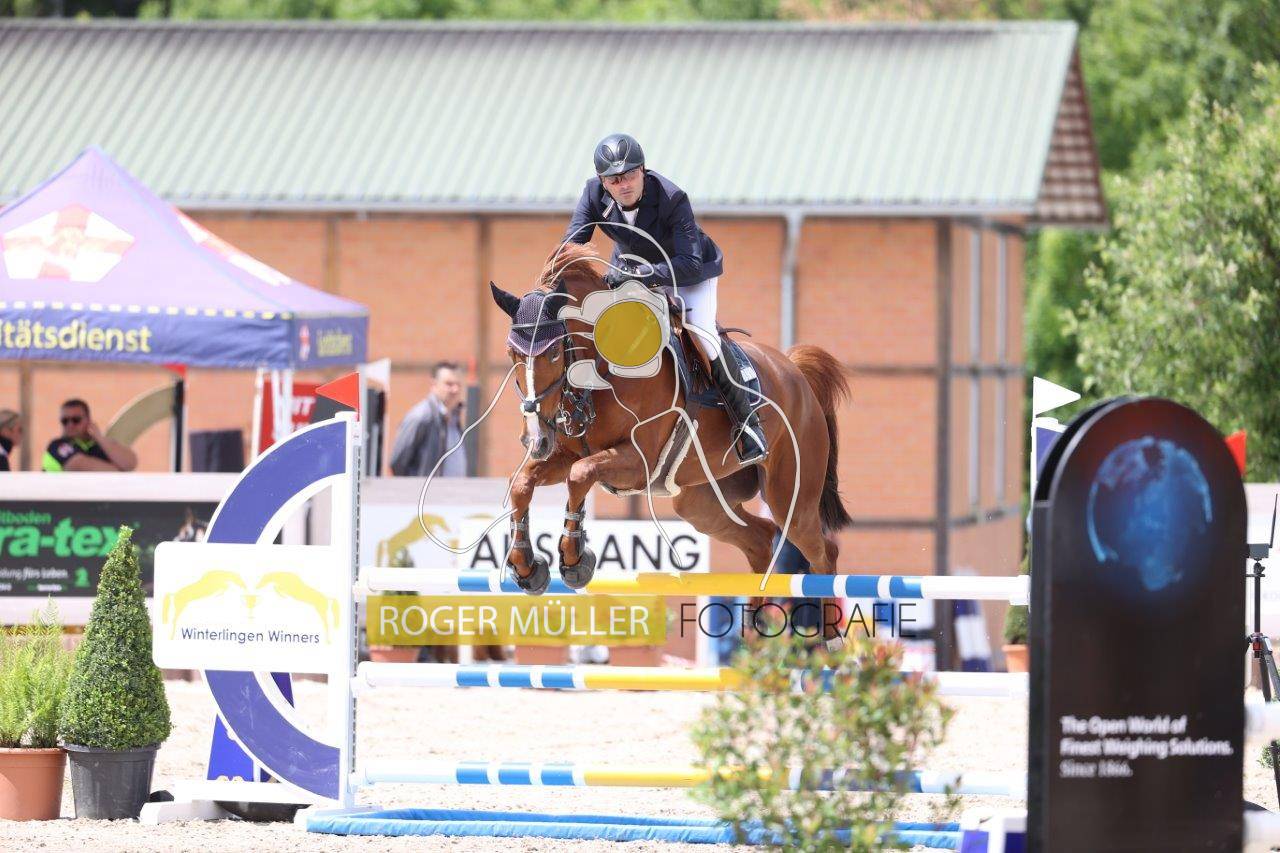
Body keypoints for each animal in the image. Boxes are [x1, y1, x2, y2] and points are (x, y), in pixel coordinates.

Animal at [489, 243, 852, 612]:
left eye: (551, 355)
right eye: (511, 354)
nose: (534, 438)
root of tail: (794, 371)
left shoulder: (637, 462)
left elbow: (579, 476)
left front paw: (575, 561)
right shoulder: (569, 453)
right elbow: (522, 482)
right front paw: (527, 568)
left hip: (790, 496)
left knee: (823, 553)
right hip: (701, 503)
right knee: (761, 540)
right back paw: (753, 625)